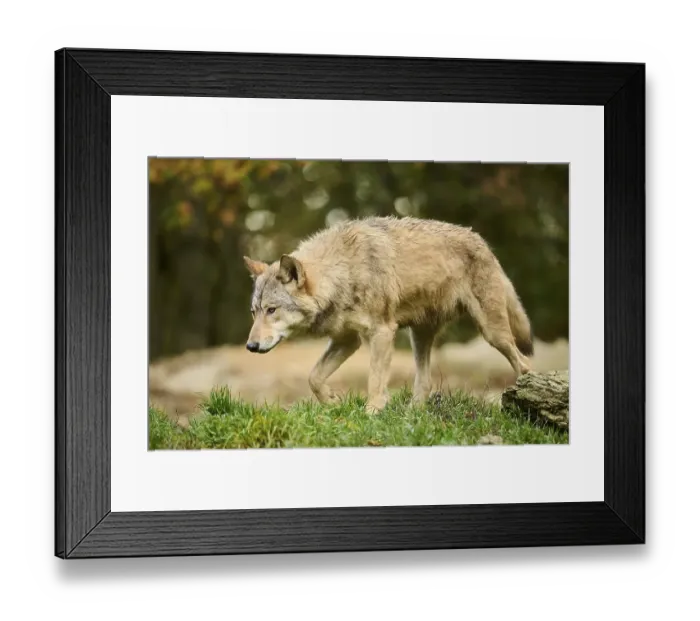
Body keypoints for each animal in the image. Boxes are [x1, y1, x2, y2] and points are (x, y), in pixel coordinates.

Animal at [243, 216, 533, 413]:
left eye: (272, 310)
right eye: (254, 313)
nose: (251, 346)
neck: (343, 271)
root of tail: (482, 242)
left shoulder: (381, 333)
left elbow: (374, 380)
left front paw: (371, 411)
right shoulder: (347, 340)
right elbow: (313, 377)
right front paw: (332, 402)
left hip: (492, 334)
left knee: (524, 363)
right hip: (419, 337)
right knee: (425, 383)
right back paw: (411, 416)